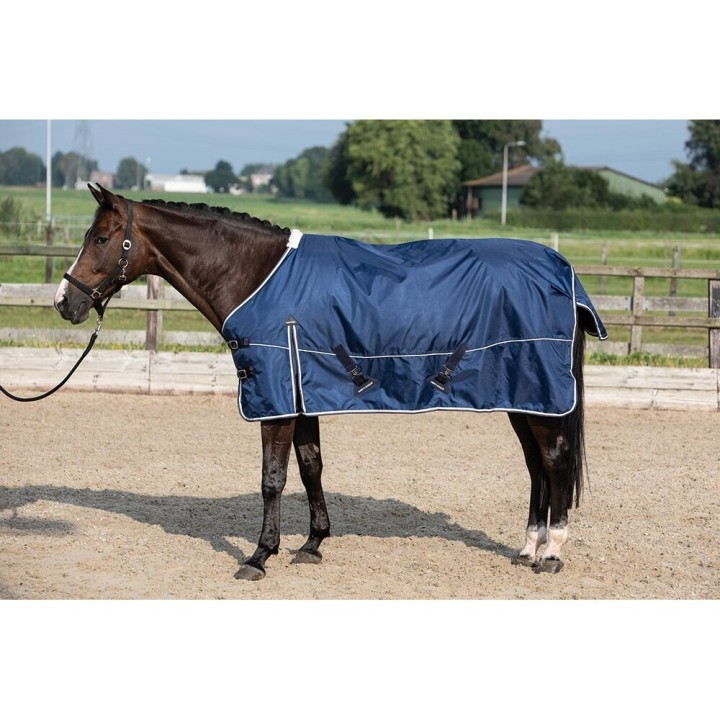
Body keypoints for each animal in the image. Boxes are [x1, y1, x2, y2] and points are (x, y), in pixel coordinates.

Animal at [54, 184, 606, 580]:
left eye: (100, 239)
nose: (65, 301)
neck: (256, 276)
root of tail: (563, 271)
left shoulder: (275, 398)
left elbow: (272, 479)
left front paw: (259, 556)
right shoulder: (302, 394)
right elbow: (310, 467)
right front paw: (313, 544)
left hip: (540, 396)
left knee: (555, 462)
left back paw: (552, 553)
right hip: (525, 396)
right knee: (537, 467)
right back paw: (527, 548)